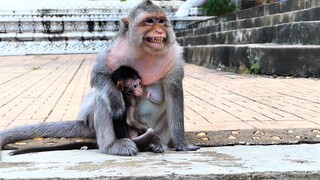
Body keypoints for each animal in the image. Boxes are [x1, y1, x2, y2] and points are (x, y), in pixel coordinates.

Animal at [0, 0, 199, 158]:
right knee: (102, 99)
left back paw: (155, 144)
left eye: (161, 21)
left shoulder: (174, 59)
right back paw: (112, 146)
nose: (159, 30)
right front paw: (116, 101)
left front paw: (183, 144)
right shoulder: (113, 51)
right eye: (149, 21)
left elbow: (174, 96)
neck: (146, 51)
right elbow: (99, 75)